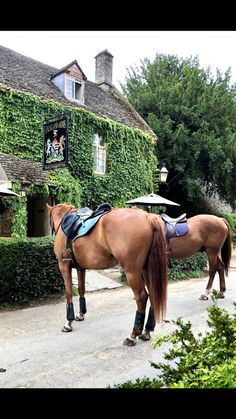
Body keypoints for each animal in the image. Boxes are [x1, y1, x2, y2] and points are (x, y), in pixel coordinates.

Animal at [46, 203, 168, 344]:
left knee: (141, 297)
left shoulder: (64, 266)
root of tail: (148, 217)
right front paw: (80, 314)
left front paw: (68, 322)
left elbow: (69, 293)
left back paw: (133, 334)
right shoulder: (81, 268)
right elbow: (81, 289)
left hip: (132, 271)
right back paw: (147, 331)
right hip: (146, 269)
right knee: (153, 293)